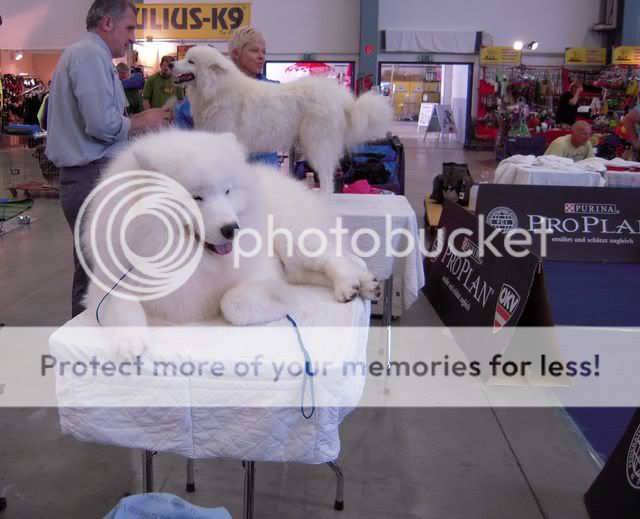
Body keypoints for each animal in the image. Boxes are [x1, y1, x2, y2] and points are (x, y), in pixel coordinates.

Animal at [81, 129, 380, 357]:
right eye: (197, 197)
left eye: (227, 191)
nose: (231, 229)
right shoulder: (108, 285)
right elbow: (121, 308)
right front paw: (129, 342)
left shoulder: (262, 272)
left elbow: (232, 302)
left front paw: (281, 303)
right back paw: (364, 283)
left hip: (292, 239)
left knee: (332, 258)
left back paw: (349, 284)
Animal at [170, 45, 393, 194]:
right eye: (186, 58)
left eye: (191, 61)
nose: (171, 62)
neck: (216, 89)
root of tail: (341, 98)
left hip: (317, 142)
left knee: (327, 176)